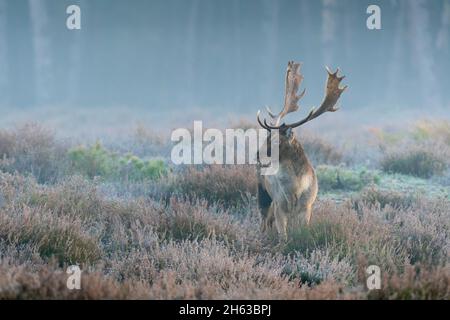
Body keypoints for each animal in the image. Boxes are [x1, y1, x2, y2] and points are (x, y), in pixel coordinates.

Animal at [256, 60, 348, 240]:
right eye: (267, 136)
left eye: (277, 140)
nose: (257, 155)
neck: (296, 189)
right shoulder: (279, 205)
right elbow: (283, 236)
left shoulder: (307, 207)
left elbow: (302, 231)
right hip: (262, 192)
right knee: (264, 220)